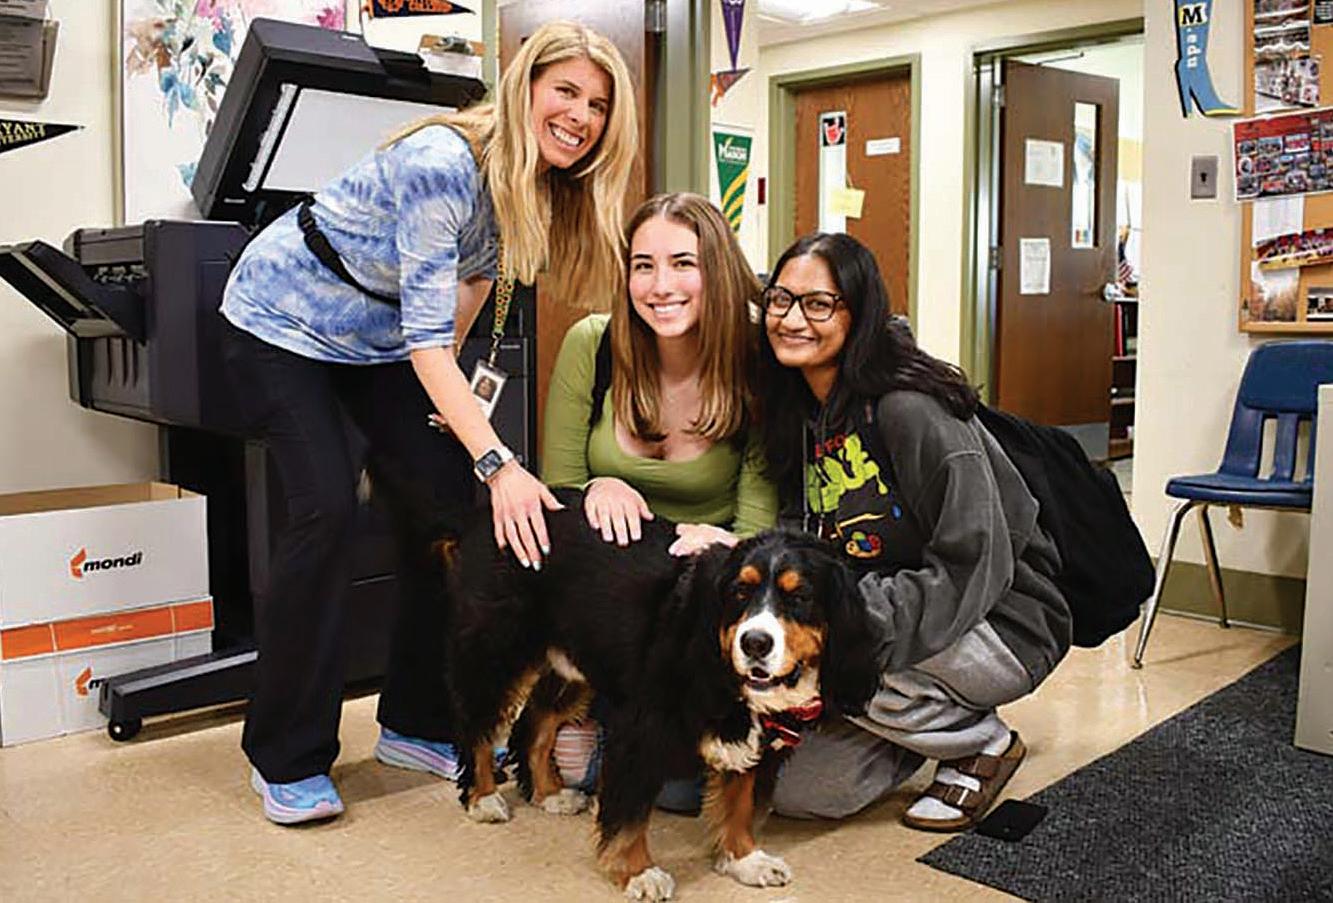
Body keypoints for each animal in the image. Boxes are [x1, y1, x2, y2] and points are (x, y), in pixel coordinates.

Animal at [443, 489, 882, 901]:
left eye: (800, 597)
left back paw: (549, 794)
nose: (755, 642)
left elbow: (739, 803)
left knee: (536, 723)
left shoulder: (754, 741)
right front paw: (639, 872)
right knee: (477, 727)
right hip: (498, 653)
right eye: (741, 592)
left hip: (570, 665)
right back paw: (482, 797)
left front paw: (745, 859)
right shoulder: (640, 731)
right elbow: (631, 816)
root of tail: (486, 516)